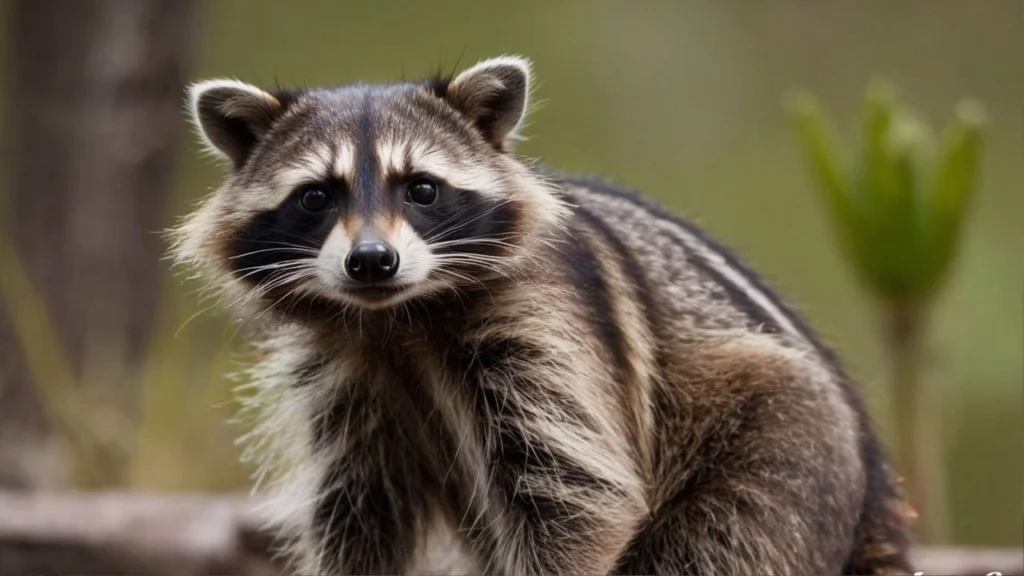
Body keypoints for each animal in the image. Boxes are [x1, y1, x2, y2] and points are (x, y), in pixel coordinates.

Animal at [173, 56, 913, 575]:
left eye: (421, 189)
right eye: (316, 196)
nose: (372, 262)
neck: (399, 320)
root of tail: (876, 485)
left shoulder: (550, 324)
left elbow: (575, 495)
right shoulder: (344, 376)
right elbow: (360, 510)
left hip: (780, 450)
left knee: (716, 541)